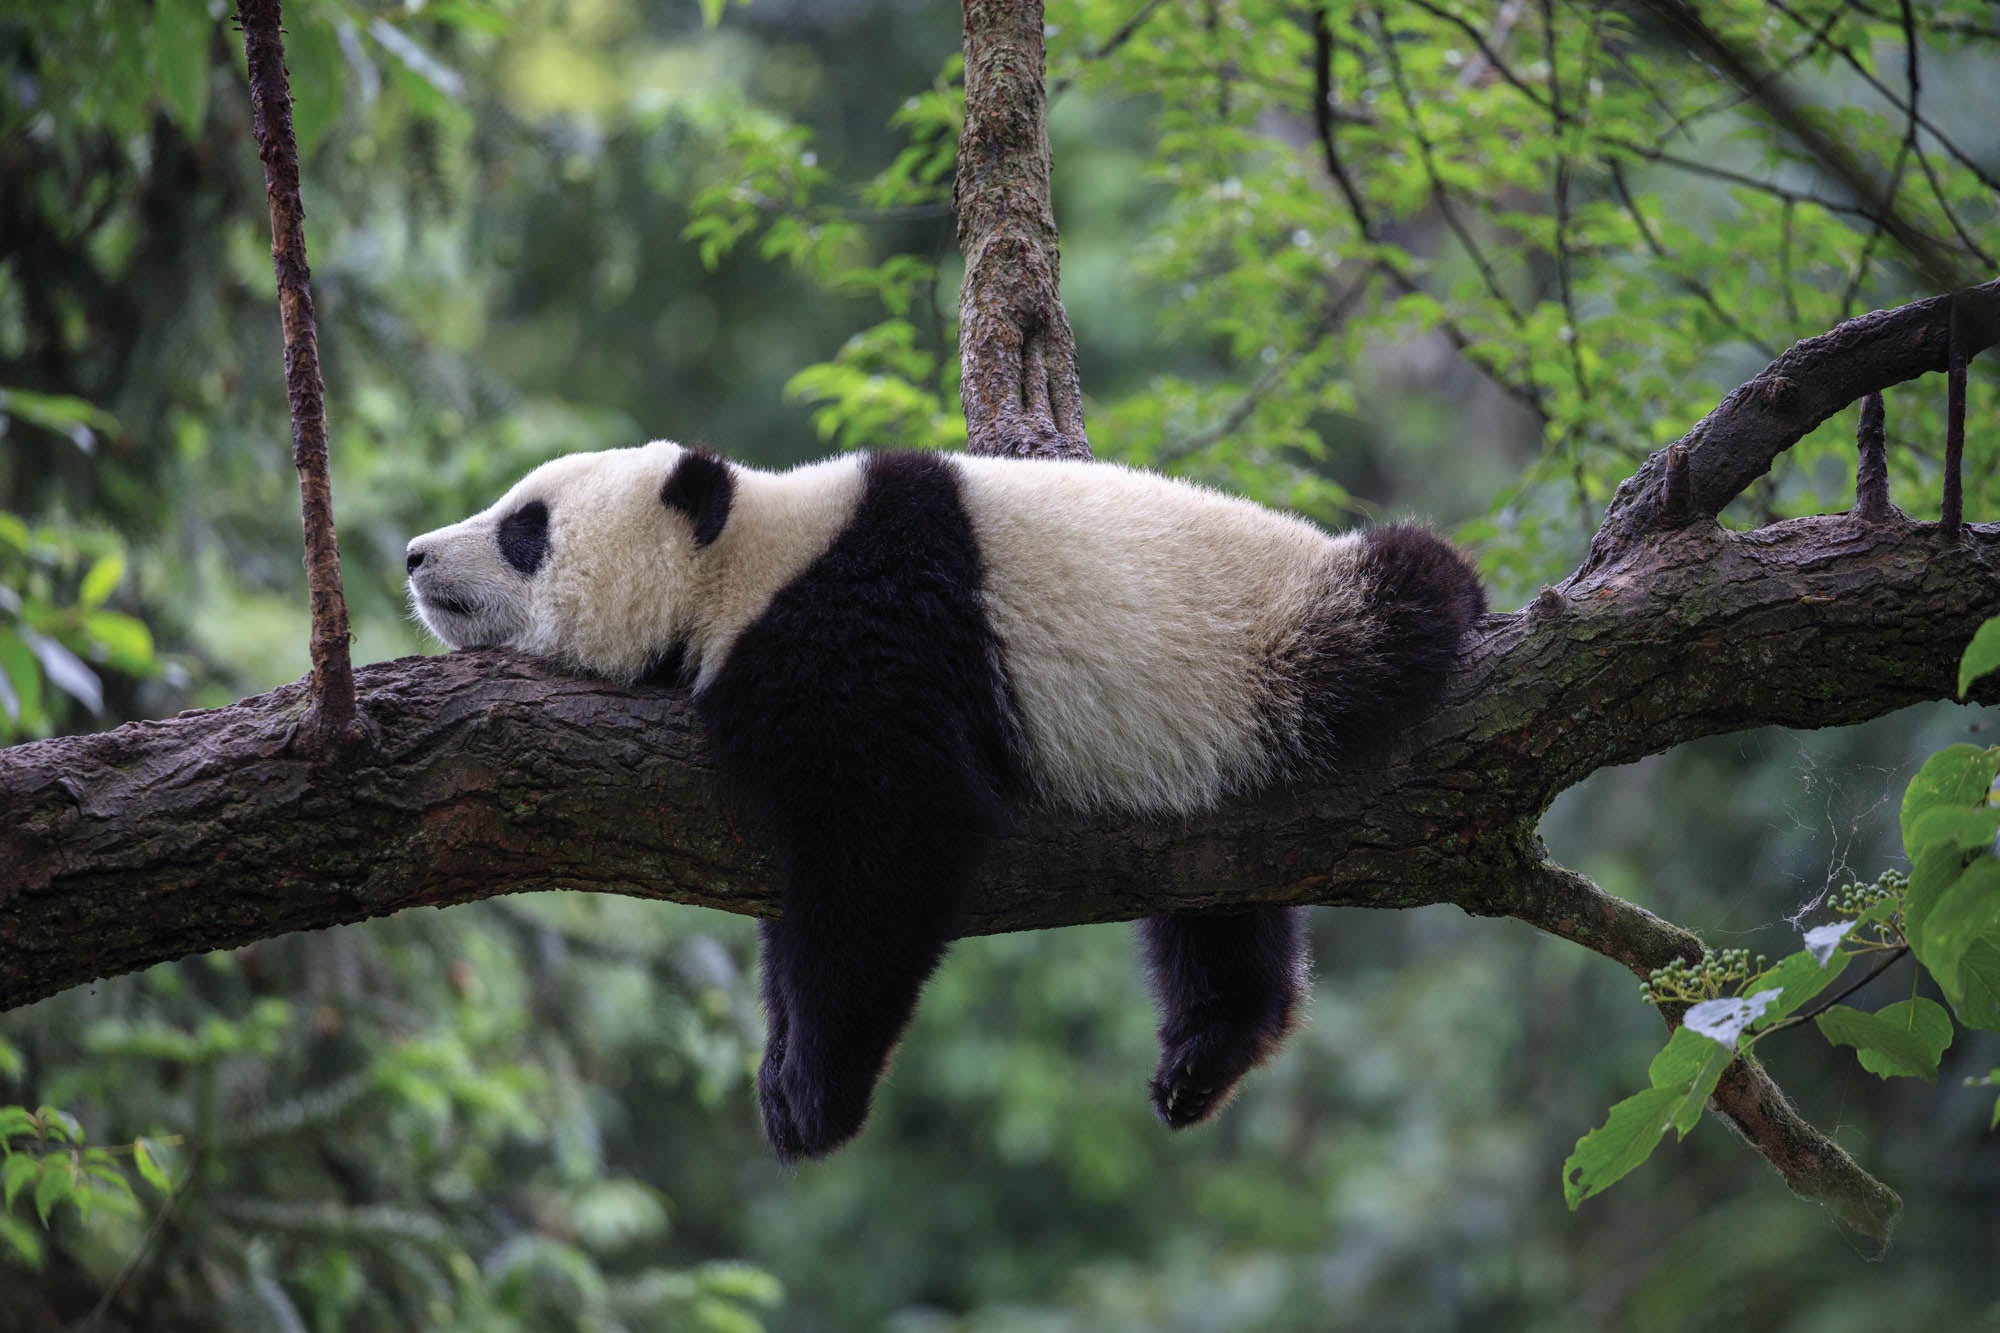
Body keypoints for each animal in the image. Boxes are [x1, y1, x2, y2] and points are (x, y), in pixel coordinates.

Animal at [405, 441, 1483, 1161]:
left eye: (525, 528)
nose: (415, 554)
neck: (750, 558)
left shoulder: (867, 633)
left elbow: (890, 844)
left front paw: (813, 1094)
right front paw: (780, 1066)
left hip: (1273, 641)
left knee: (1393, 602)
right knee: (1217, 905)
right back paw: (1206, 1053)